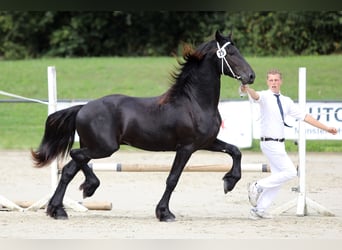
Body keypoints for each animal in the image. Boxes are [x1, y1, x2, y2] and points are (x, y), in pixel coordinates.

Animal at [32, 30, 255, 221]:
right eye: (232, 53)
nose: (251, 76)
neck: (194, 102)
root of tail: (82, 107)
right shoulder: (186, 147)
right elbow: (173, 179)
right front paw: (164, 213)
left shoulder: (207, 142)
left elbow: (235, 151)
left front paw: (229, 182)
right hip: (104, 147)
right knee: (75, 156)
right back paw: (84, 191)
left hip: (95, 146)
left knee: (70, 168)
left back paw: (59, 208)